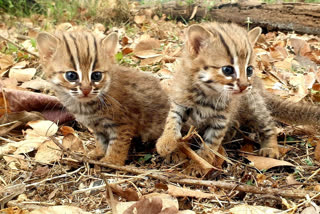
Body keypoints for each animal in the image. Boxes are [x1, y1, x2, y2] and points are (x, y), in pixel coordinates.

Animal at [37, 31, 170, 166]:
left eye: (97, 75)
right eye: (71, 75)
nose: (86, 90)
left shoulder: (123, 124)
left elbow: (117, 144)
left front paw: (111, 161)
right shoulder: (97, 126)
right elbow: (101, 141)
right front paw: (98, 153)